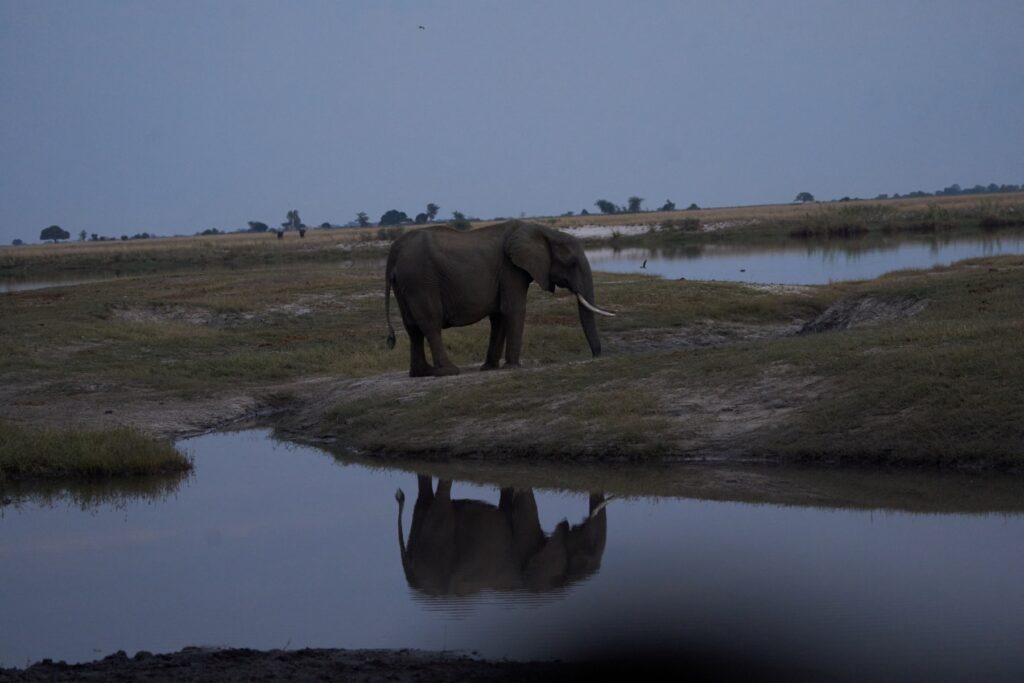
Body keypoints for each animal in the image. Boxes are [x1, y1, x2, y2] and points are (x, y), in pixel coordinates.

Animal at [380, 220, 610, 376]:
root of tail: (394, 252)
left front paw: (489, 368)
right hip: (420, 280)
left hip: (406, 284)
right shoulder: (511, 270)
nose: (596, 355)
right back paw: (449, 370)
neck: (543, 231)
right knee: (430, 323)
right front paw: (513, 366)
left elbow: (499, 315)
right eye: (571, 262)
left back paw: (422, 372)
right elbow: (513, 309)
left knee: (412, 327)